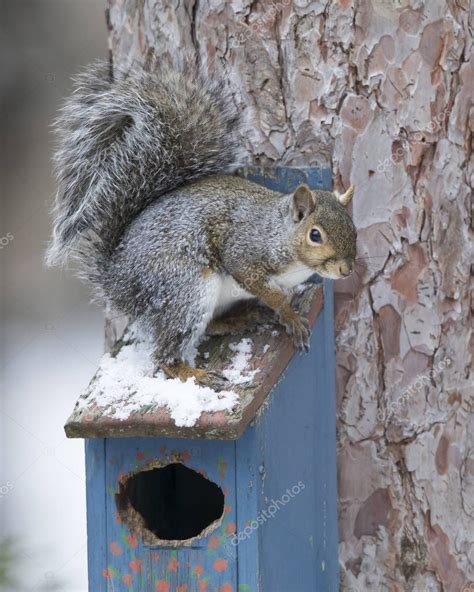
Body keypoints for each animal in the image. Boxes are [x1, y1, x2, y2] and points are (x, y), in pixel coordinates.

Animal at [48, 62, 358, 390]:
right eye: (315, 235)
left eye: (353, 229)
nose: (346, 270)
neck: (282, 236)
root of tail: (116, 277)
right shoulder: (245, 252)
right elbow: (267, 289)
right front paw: (290, 315)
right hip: (184, 289)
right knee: (166, 354)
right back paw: (196, 374)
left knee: (207, 327)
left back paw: (238, 319)